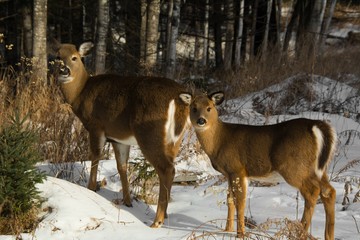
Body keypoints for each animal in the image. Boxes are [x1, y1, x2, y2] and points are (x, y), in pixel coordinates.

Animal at [51, 41, 193, 229]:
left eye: (74, 57)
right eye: (57, 57)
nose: (64, 70)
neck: (81, 93)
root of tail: (179, 98)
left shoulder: (96, 126)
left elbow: (95, 157)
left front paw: (91, 188)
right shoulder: (119, 139)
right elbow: (122, 167)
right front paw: (128, 201)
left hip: (149, 133)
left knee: (167, 169)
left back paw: (157, 221)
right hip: (175, 140)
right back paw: (166, 214)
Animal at [190, 91, 336, 238]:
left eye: (209, 108)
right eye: (193, 108)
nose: (201, 120)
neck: (218, 141)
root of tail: (315, 126)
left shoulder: (237, 169)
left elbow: (240, 202)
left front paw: (240, 234)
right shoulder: (229, 173)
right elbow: (229, 200)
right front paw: (227, 230)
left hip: (294, 167)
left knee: (313, 192)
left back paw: (300, 233)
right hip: (318, 169)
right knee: (329, 192)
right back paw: (328, 236)